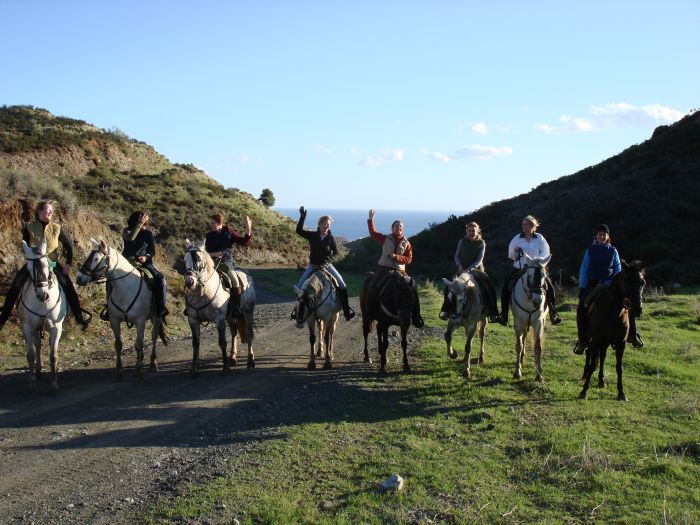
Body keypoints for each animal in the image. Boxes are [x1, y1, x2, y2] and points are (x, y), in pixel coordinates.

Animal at [17, 239, 67, 390]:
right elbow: (30, 355)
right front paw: (32, 383)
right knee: (38, 345)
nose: (42, 295)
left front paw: (54, 383)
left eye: (46, 264)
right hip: (35, 328)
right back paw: (38, 370)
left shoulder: (56, 327)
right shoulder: (27, 328)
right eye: (28, 269)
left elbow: (53, 355)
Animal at [75, 238, 167, 380]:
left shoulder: (140, 321)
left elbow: (139, 344)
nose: (79, 278)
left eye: (96, 258)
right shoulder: (115, 320)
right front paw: (119, 370)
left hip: (156, 317)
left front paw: (138, 370)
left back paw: (153, 362)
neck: (125, 288)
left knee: (154, 337)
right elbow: (118, 345)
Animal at [182, 239, 256, 374]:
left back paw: (250, 361)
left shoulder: (219, 319)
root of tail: (247, 276)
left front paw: (225, 368)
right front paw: (194, 369)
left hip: (248, 312)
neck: (202, 293)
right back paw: (233, 357)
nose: (190, 282)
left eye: (199, 259)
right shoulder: (193, 320)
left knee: (249, 333)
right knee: (233, 331)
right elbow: (195, 343)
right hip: (230, 316)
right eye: (185, 260)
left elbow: (222, 342)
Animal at [580, 258, 644, 402]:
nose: (637, 309)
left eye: (642, 283)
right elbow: (592, 365)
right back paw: (585, 375)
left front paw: (621, 393)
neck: (613, 311)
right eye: (627, 281)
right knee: (589, 354)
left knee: (602, 357)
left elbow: (619, 367)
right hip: (590, 339)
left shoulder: (621, 343)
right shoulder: (597, 340)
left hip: (605, 342)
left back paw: (601, 381)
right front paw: (584, 391)